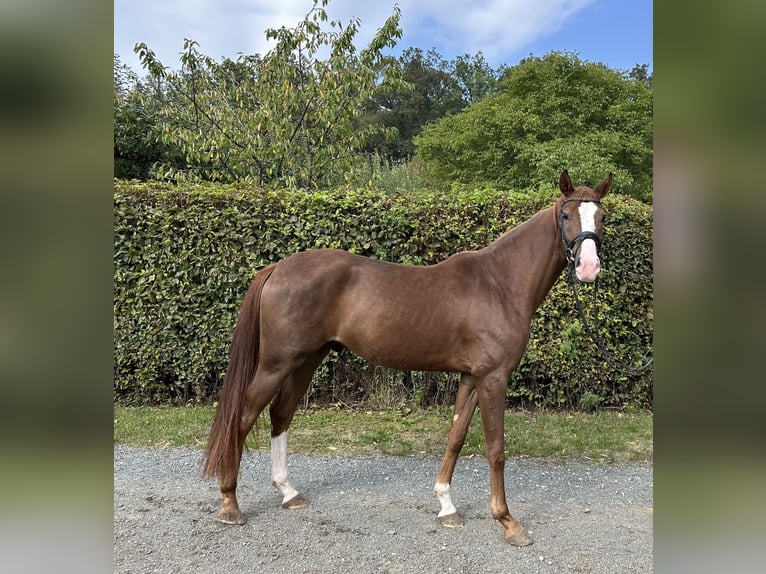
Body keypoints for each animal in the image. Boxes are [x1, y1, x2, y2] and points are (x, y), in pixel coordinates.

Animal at [202, 169, 612, 548]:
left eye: (602, 216)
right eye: (565, 215)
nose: (588, 268)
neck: (500, 284)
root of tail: (277, 268)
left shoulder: (471, 377)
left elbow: (456, 436)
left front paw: (446, 506)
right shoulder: (493, 378)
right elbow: (496, 449)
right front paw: (508, 522)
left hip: (306, 360)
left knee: (280, 414)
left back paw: (289, 492)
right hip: (277, 363)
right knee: (243, 417)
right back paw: (230, 504)